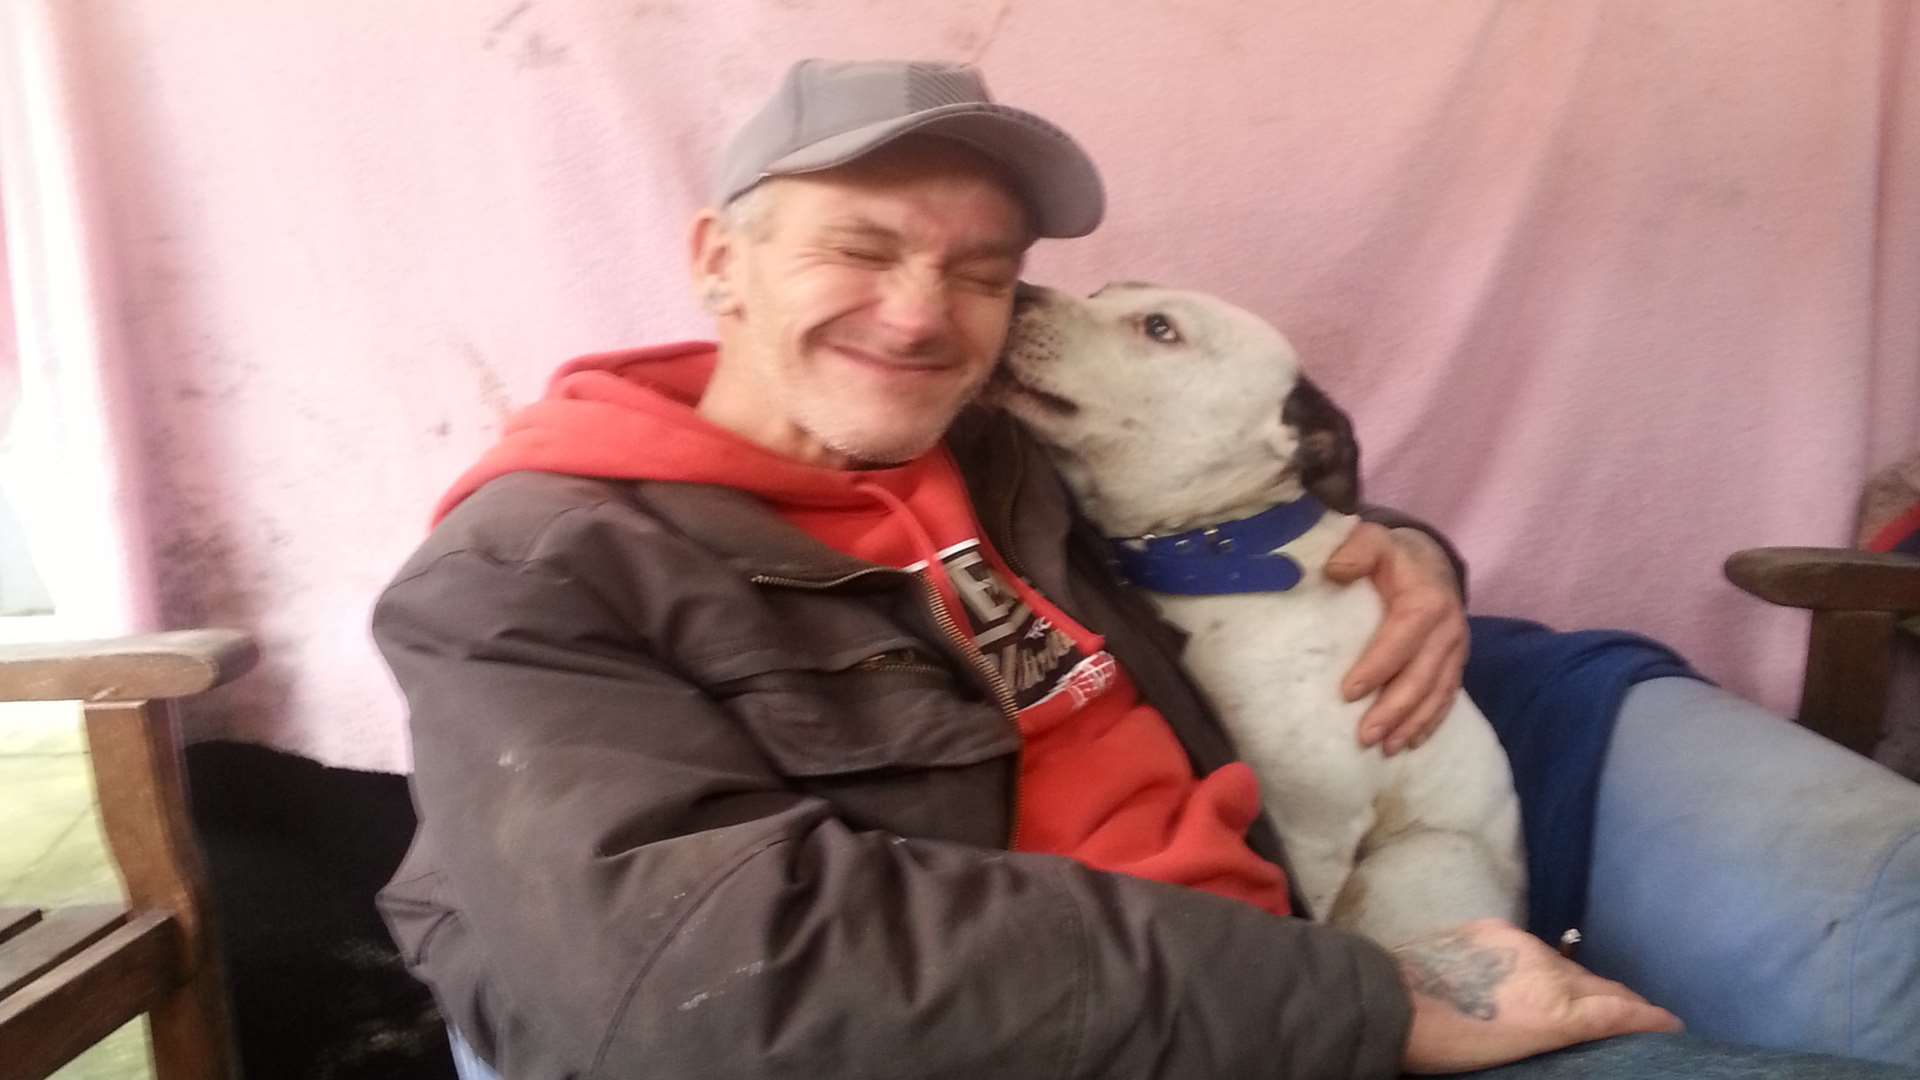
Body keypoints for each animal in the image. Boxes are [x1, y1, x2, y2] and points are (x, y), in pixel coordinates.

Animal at [998, 278, 1520, 941]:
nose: (1017, 287)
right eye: (1100, 292)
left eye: (1160, 328)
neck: (1232, 557)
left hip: (1412, 863)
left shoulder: (1312, 834)